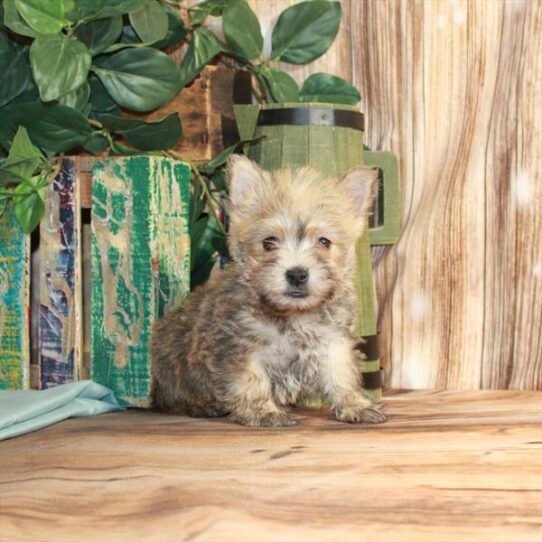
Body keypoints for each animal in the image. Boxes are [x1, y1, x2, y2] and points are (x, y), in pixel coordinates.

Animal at [150, 155, 386, 428]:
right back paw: (202, 406)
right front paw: (264, 412)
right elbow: (252, 381)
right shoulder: (239, 348)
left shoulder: (333, 342)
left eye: (324, 242)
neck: (292, 314)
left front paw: (356, 404)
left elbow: (341, 374)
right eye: (269, 242)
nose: (297, 274)